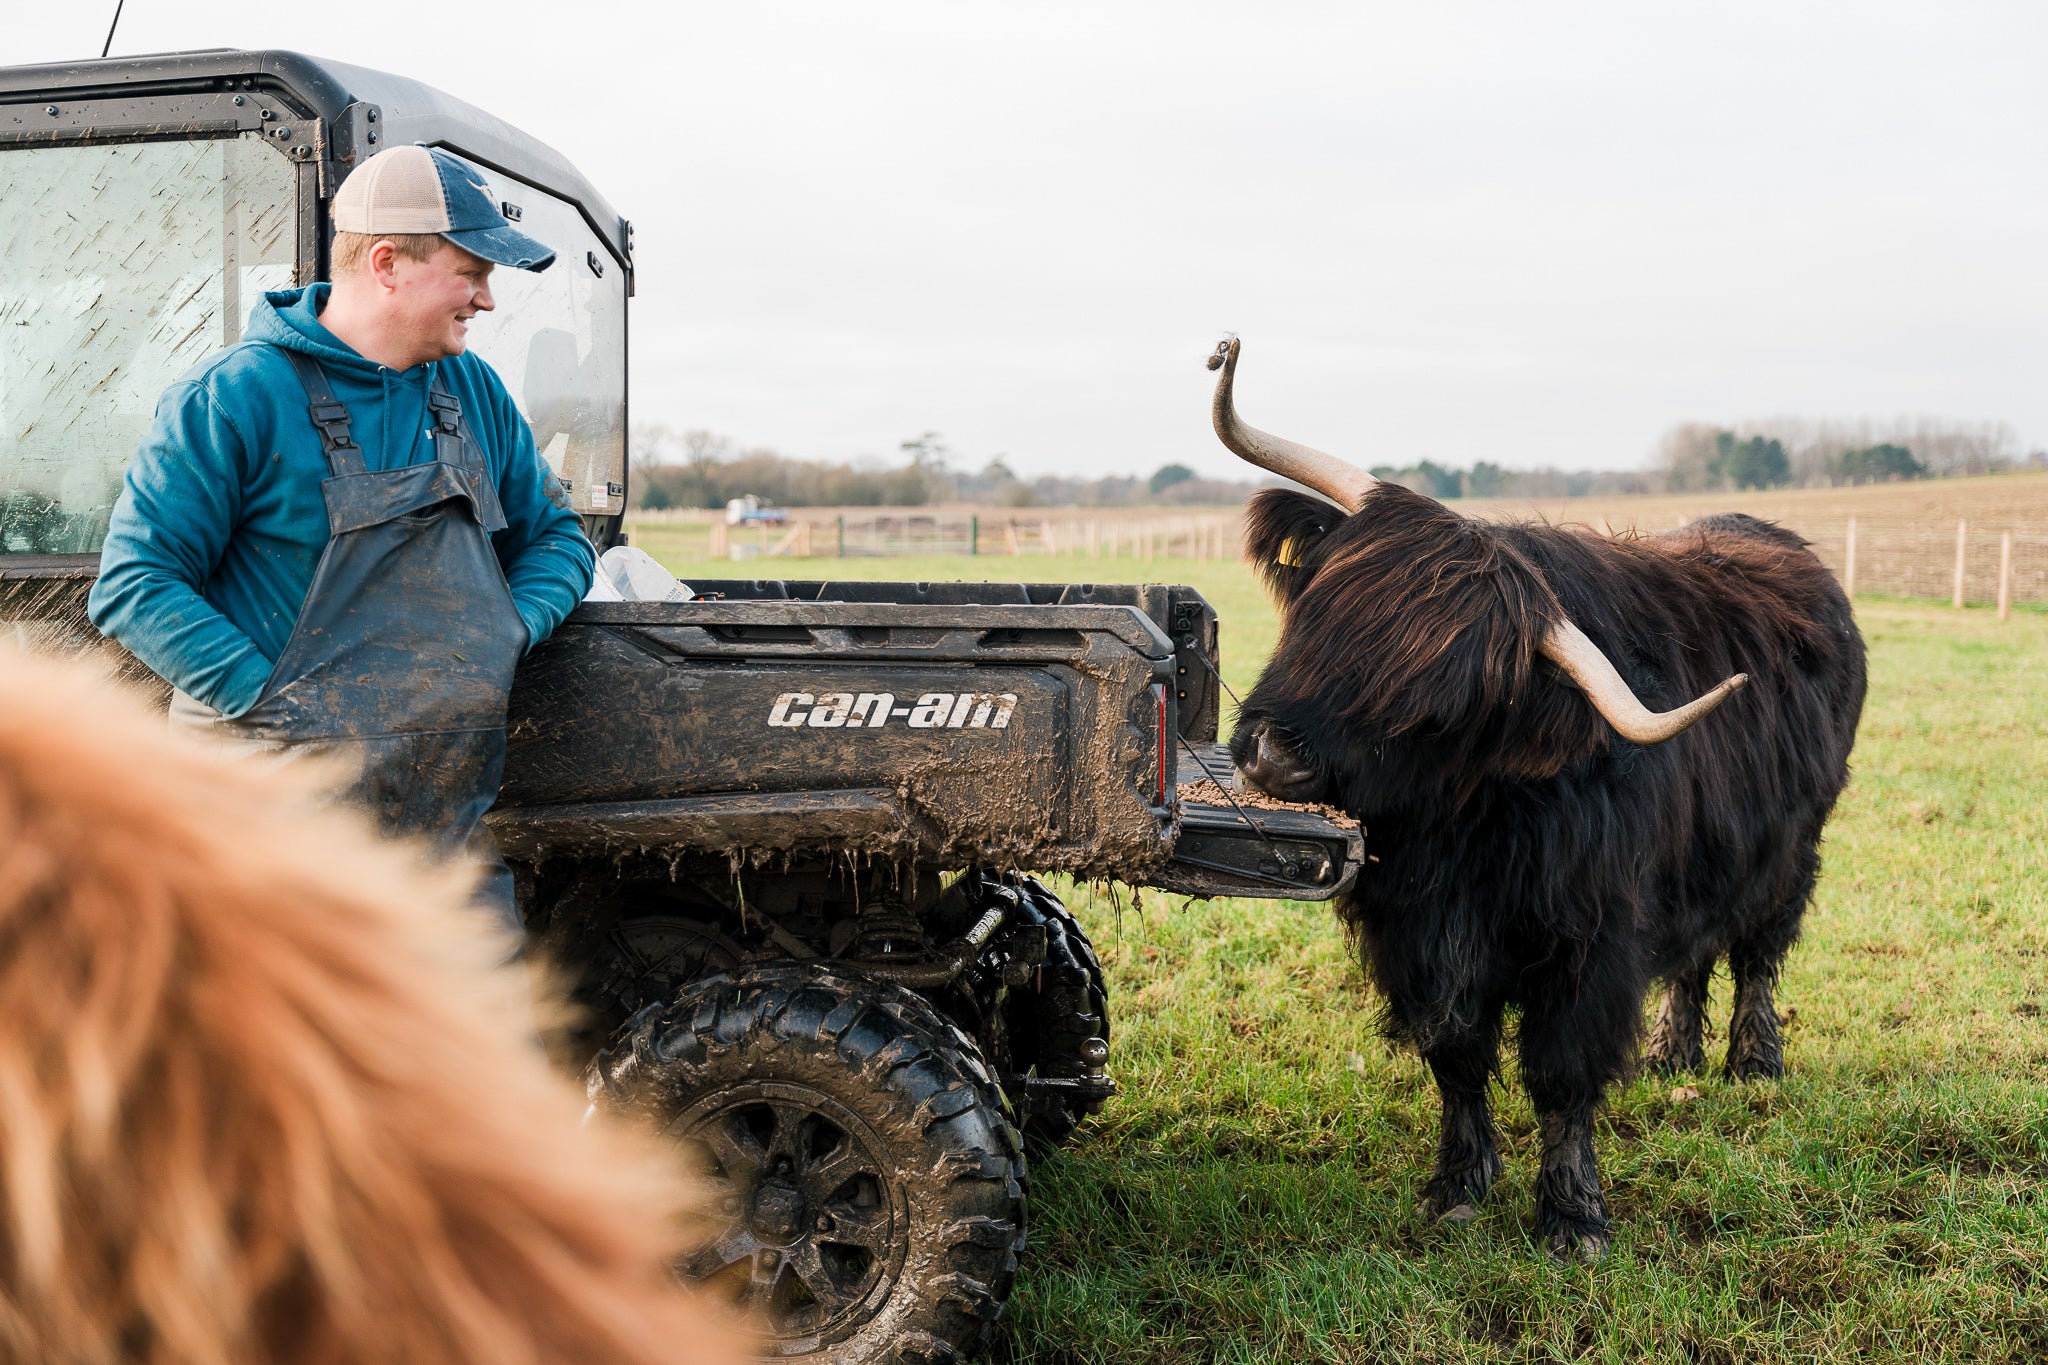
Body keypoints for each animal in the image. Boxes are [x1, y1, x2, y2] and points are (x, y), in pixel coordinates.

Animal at [1206, 337, 1867, 1259]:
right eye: (1323, 611)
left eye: (1440, 699)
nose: (1275, 756)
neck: (1462, 837)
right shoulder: (1420, 937)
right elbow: (1456, 1058)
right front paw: (1457, 1186)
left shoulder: (1588, 941)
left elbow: (1562, 1076)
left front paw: (1573, 1215)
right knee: (1695, 951)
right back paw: (1671, 1053)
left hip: (1793, 846)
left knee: (1757, 951)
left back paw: (1753, 1062)